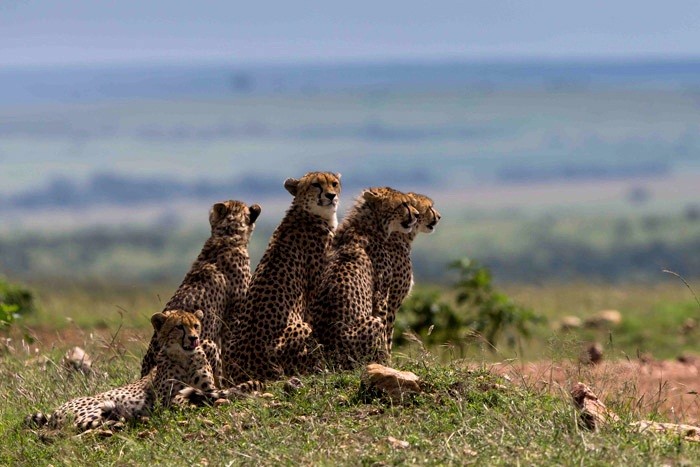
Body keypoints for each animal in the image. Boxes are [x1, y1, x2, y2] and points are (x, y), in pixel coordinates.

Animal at [27, 310, 249, 436]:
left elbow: (209, 394)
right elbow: (177, 399)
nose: (194, 338)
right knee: (74, 429)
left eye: (196, 325)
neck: (184, 358)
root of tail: (55, 411)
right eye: (179, 327)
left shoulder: (208, 388)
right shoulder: (163, 400)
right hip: (93, 409)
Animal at [308, 186, 418, 370]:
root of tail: (329, 358)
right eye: (403, 204)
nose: (416, 215)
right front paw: (386, 362)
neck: (370, 225)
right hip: (370, 325)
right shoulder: (381, 295)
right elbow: (386, 332)